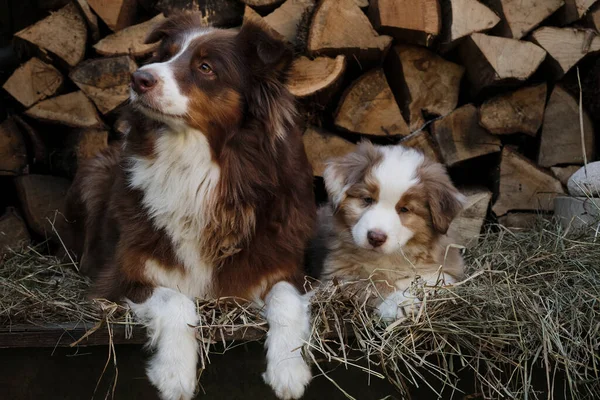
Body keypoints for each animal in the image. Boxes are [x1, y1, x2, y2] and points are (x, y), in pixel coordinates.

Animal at [67, 14, 314, 398]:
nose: (139, 78)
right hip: (96, 171)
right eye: (165, 54)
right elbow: (176, 300)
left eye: (205, 67)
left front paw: (288, 370)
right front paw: (174, 374)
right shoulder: (121, 277)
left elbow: (286, 300)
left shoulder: (285, 268)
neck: (197, 167)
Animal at [312, 142, 466, 320]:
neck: (389, 256)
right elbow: (370, 282)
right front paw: (399, 302)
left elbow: (439, 278)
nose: (375, 237)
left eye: (405, 209)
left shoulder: (448, 264)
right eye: (367, 199)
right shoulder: (337, 272)